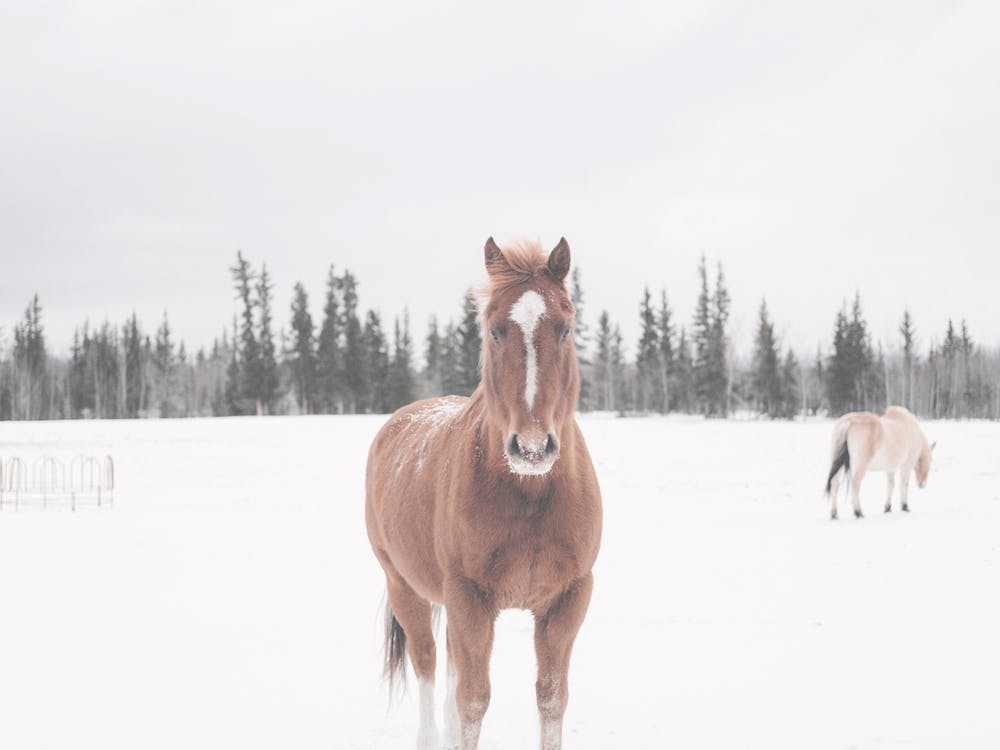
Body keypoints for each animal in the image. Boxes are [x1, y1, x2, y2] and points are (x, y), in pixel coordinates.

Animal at [365, 237, 603, 750]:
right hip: (405, 588)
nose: (532, 447)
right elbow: (473, 701)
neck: (529, 494)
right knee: (429, 666)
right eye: (494, 331)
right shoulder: (469, 598)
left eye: (566, 328)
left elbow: (551, 699)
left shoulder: (568, 599)